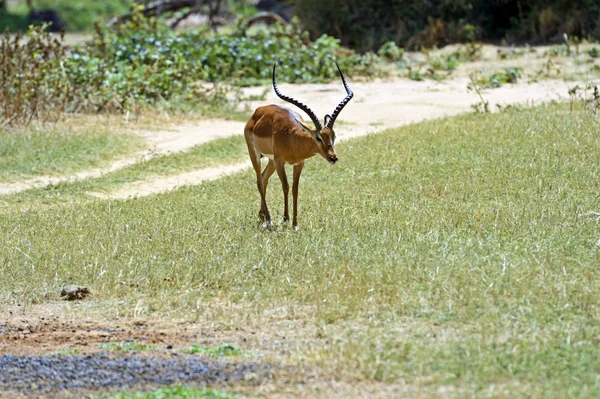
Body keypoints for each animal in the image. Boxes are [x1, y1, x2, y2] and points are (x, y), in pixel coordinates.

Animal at [246, 61, 354, 227]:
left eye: (333, 136)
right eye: (318, 137)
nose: (333, 158)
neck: (292, 139)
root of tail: (257, 112)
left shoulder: (299, 163)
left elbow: (295, 189)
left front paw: (295, 223)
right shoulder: (280, 161)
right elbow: (285, 186)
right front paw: (285, 219)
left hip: (270, 161)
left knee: (264, 178)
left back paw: (262, 216)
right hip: (256, 155)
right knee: (259, 180)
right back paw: (268, 220)